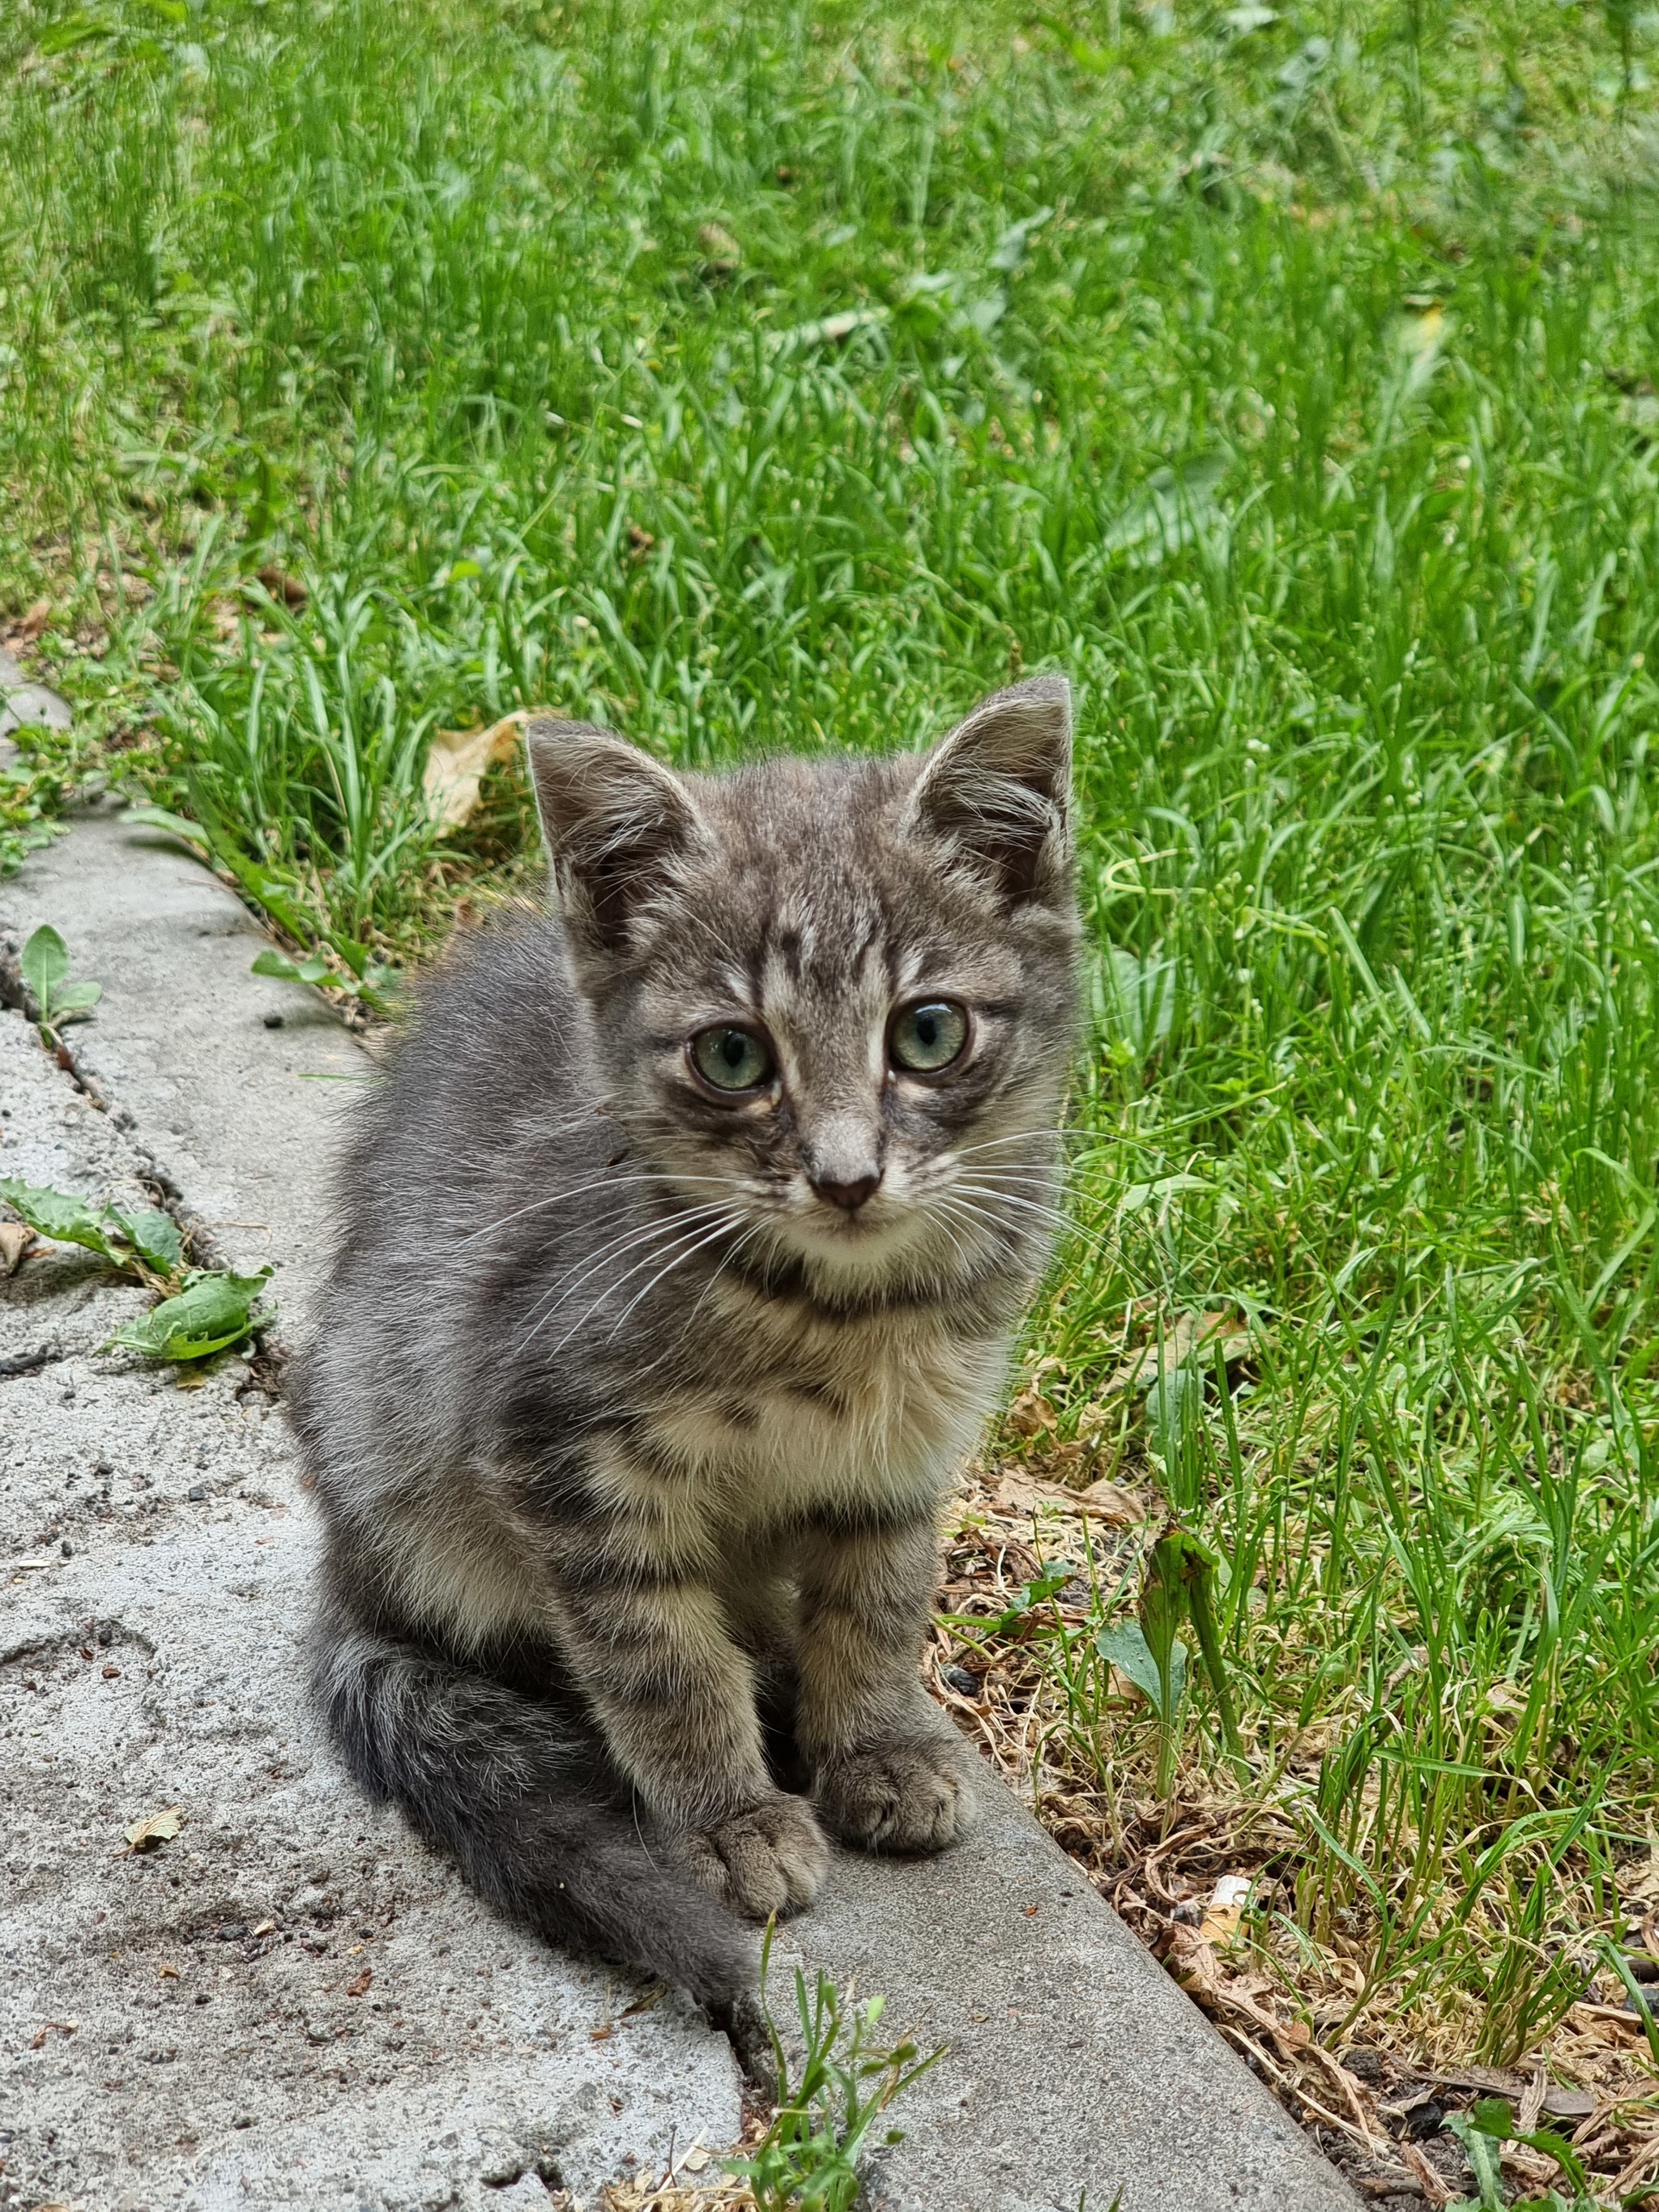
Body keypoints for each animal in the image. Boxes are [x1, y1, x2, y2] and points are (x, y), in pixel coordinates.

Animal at [292, 672, 1084, 2008]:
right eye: (733, 1054)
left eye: (927, 1033)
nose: (846, 1177)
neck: (840, 1313)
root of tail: (343, 1575)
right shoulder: (556, 1451)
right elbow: (657, 1653)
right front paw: (726, 1814)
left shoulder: (902, 1451)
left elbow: (879, 1594)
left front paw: (874, 1734)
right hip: (404, 1464)